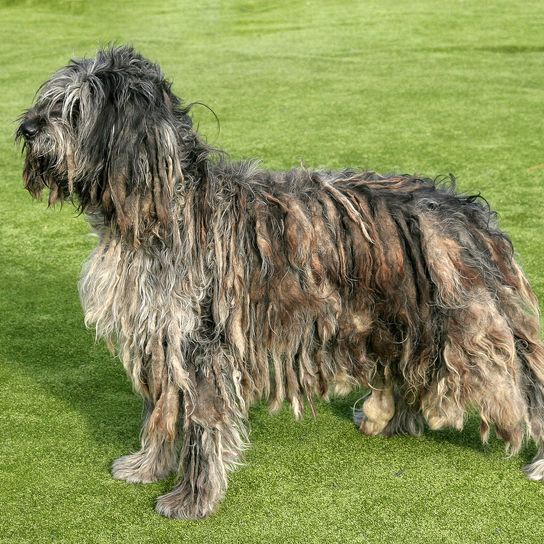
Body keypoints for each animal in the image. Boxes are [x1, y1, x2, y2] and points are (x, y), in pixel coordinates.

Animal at [15, 45, 544, 520]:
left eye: (75, 108)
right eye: (51, 100)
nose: (26, 127)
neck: (163, 209)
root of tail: (466, 211)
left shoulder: (200, 344)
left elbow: (203, 425)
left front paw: (192, 500)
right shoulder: (160, 340)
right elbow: (160, 413)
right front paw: (147, 467)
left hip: (465, 328)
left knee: (523, 383)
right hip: (398, 318)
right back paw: (385, 419)